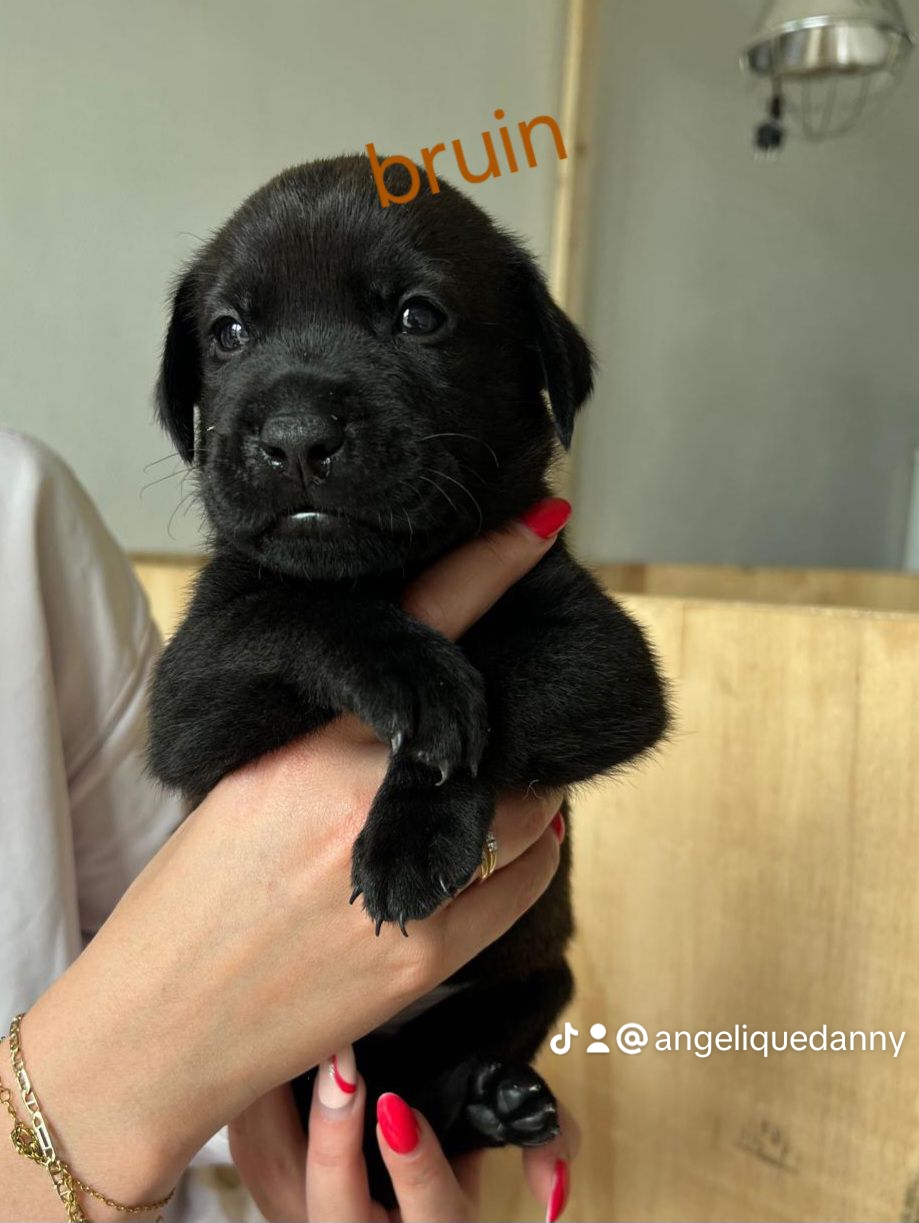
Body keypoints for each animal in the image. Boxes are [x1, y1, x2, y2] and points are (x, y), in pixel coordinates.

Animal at [151, 155, 670, 1203]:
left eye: (417, 316)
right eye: (228, 333)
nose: (295, 436)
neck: (391, 572)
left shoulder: (602, 659)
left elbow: (505, 688)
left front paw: (413, 824)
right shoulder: (190, 687)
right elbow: (297, 608)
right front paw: (417, 679)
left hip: (538, 979)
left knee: (435, 1083)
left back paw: (492, 1101)